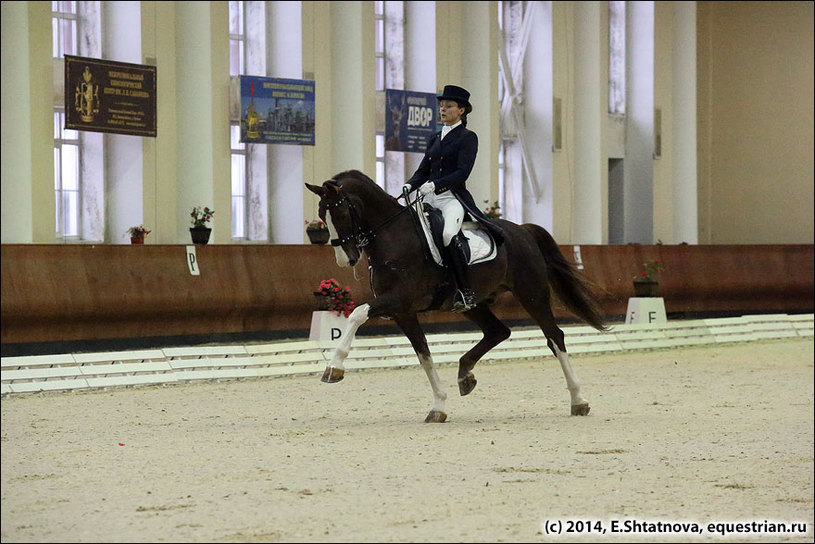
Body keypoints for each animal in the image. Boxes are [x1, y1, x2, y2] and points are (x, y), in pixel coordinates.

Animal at [308, 169, 612, 420]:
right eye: (322, 216)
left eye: (341, 214)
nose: (345, 260)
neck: (393, 236)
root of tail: (523, 231)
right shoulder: (403, 312)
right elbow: (424, 354)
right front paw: (439, 406)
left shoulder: (398, 299)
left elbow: (357, 314)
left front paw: (334, 367)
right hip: (473, 303)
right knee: (498, 331)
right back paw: (465, 375)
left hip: (532, 294)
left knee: (554, 337)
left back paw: (578, 400)